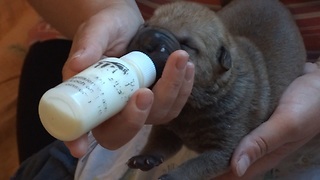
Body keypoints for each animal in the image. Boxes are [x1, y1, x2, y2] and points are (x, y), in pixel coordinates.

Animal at [126, 0, 306, 179]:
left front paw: (173, 177)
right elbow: (158, 141)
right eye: (145, 25)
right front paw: (145, 157)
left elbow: (196, 166)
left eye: (187, 44)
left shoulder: (225, 148)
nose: (148, 39)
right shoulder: (167, 127)